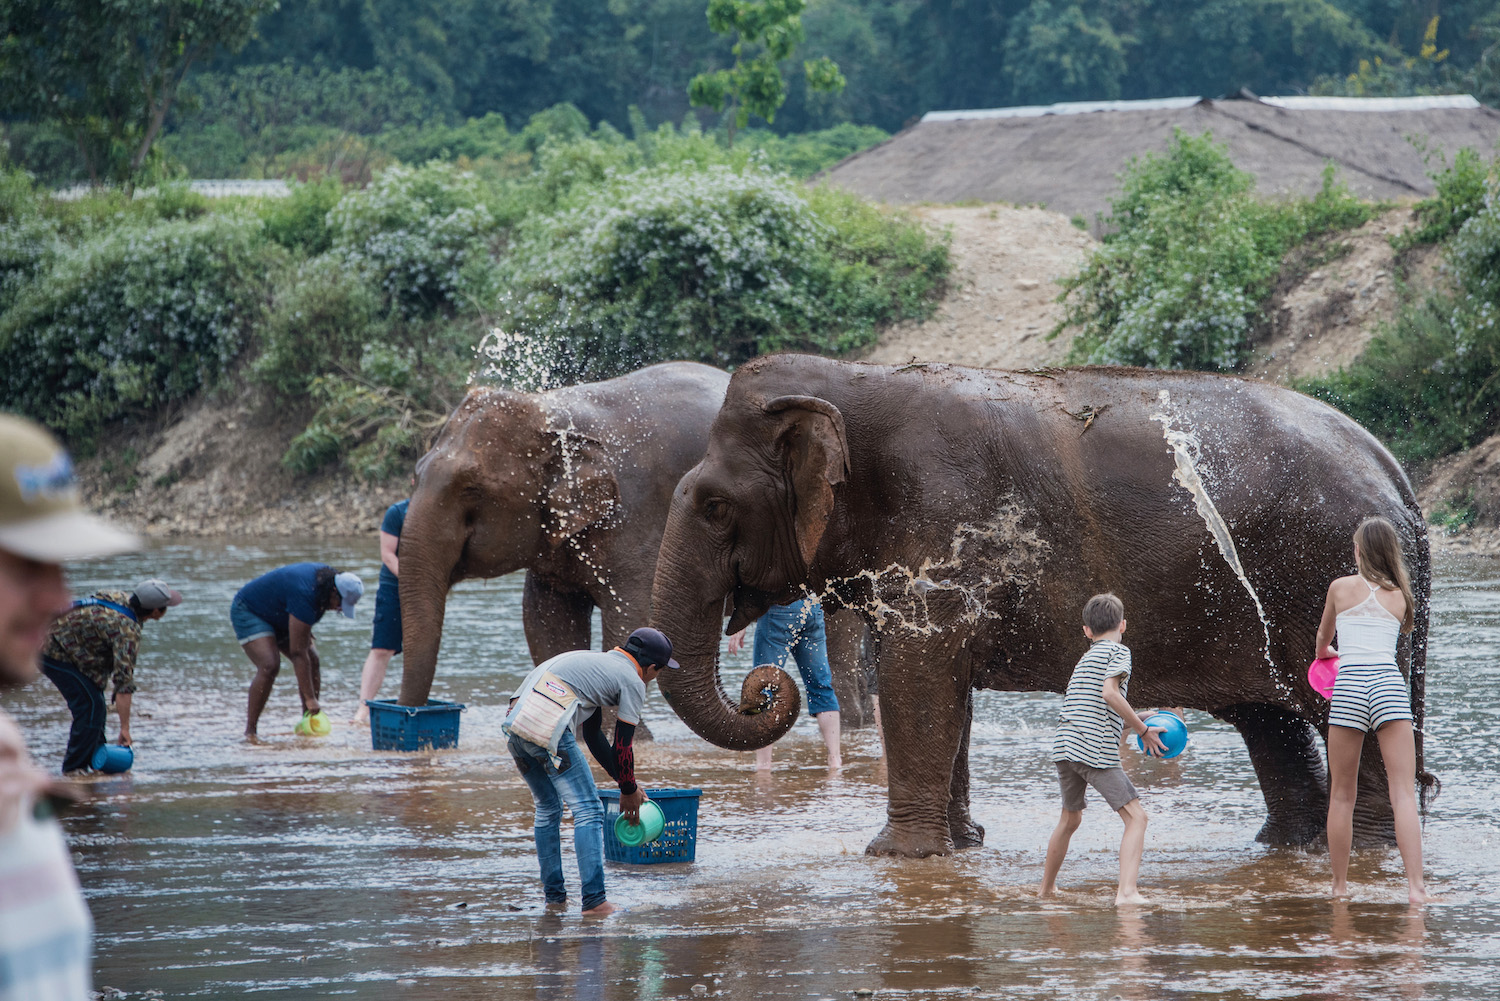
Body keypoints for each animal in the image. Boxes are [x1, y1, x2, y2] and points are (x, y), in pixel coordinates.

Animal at [654, 355, 1428, 858]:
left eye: (716, 506)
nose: (762, 686)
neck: (853, 378)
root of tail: (1397, 473)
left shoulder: (943, 531)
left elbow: (919, 682)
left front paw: (895, 856)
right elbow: (943, 691)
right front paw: (961, 846)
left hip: (1326, 583)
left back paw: (1362, 850)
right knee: (1271, 723)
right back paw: (1288, 846)